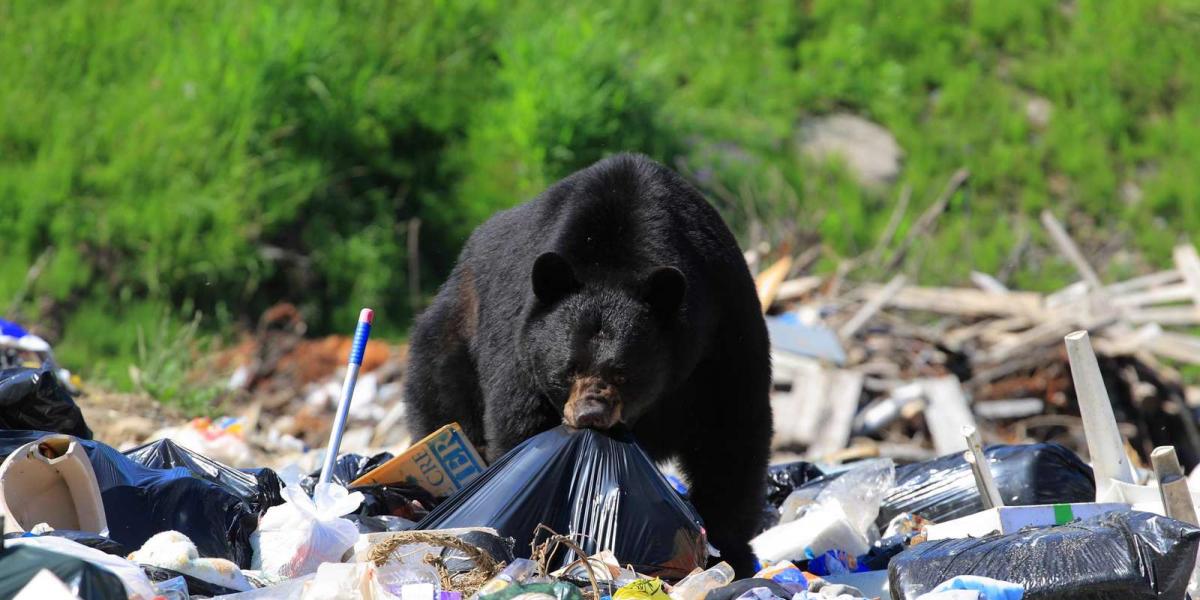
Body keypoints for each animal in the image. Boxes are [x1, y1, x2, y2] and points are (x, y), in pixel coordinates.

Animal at [403, 152, 772, 573]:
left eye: (623, 374)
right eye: (568, 369)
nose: (590, 413)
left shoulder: (720, 332)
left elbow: (730, 434)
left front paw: (730, 551)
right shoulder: (520, 344)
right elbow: (522, 428)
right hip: (457, 327)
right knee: (440, 392)